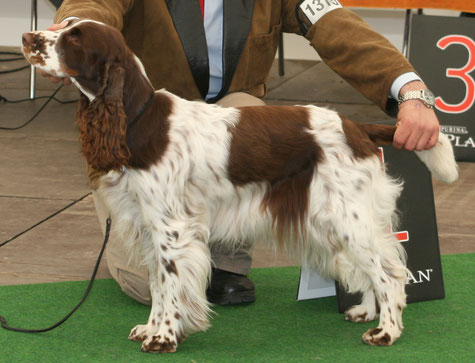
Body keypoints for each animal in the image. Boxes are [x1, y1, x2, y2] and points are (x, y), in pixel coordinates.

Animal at [23, 19, 462, 352]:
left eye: (74, 38)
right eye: (63, 25)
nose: (28, 38)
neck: (137, 119)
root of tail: (357, 127)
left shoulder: (172, 229)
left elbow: (170, 284)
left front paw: (164, 337)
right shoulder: (149, 226)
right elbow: (158, 285)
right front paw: (152, 328)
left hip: (348, 217)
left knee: (389, 271)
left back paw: (386, 331)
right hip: (333, 221)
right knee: (374, 267)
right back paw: (366, 311)